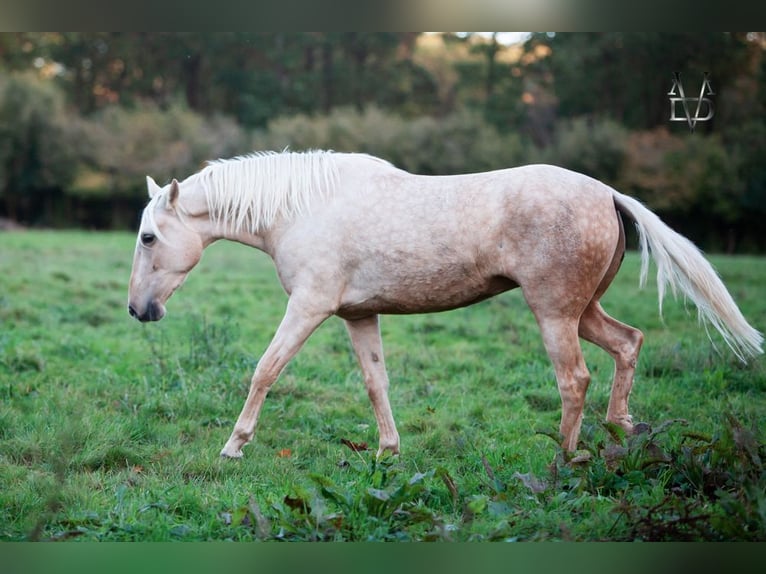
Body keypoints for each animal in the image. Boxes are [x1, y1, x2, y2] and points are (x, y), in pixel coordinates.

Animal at [129, 151, 764, 462]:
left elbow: (265, 370)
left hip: (555, 314)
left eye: (148, 238)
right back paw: (621, 433)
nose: (139, 311)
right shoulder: (357, 315)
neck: (304, 206)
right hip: (585, 311)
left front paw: (233, 446)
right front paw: (388, 452)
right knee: (629, 344)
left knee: (574, 379)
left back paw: (566, 459)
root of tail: (607, 192)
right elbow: (376, 383)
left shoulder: (308, 307)